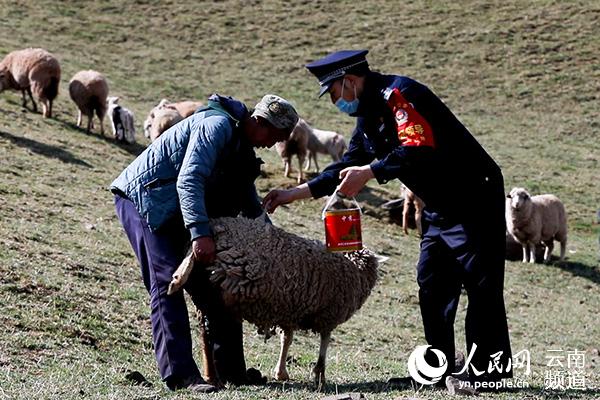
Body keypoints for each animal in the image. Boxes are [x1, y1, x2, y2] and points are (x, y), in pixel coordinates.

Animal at [166, 217, 378, 390]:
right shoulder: (328, 315)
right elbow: (324, 342)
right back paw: (216, 378)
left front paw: (281, 372)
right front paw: (319, 375)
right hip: (218, 290)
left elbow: (287, 338)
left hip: (202, 292)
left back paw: (213, 376)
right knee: (211, 331)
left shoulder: (290, 310)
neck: (355, 267)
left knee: (203, 331)